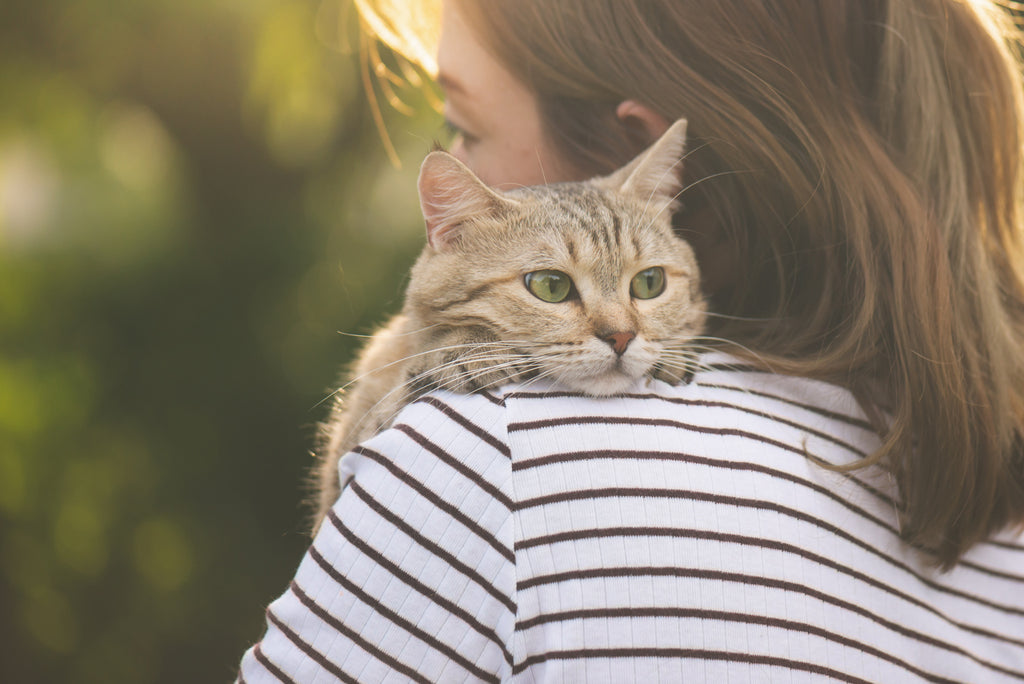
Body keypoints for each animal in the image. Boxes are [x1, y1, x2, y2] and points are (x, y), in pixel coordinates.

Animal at [307, 120, 704, 532]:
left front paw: (675, 353)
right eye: (551, 286)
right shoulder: (342, 458)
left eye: (650, 282)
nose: (622, 336)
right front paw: (465, 348)